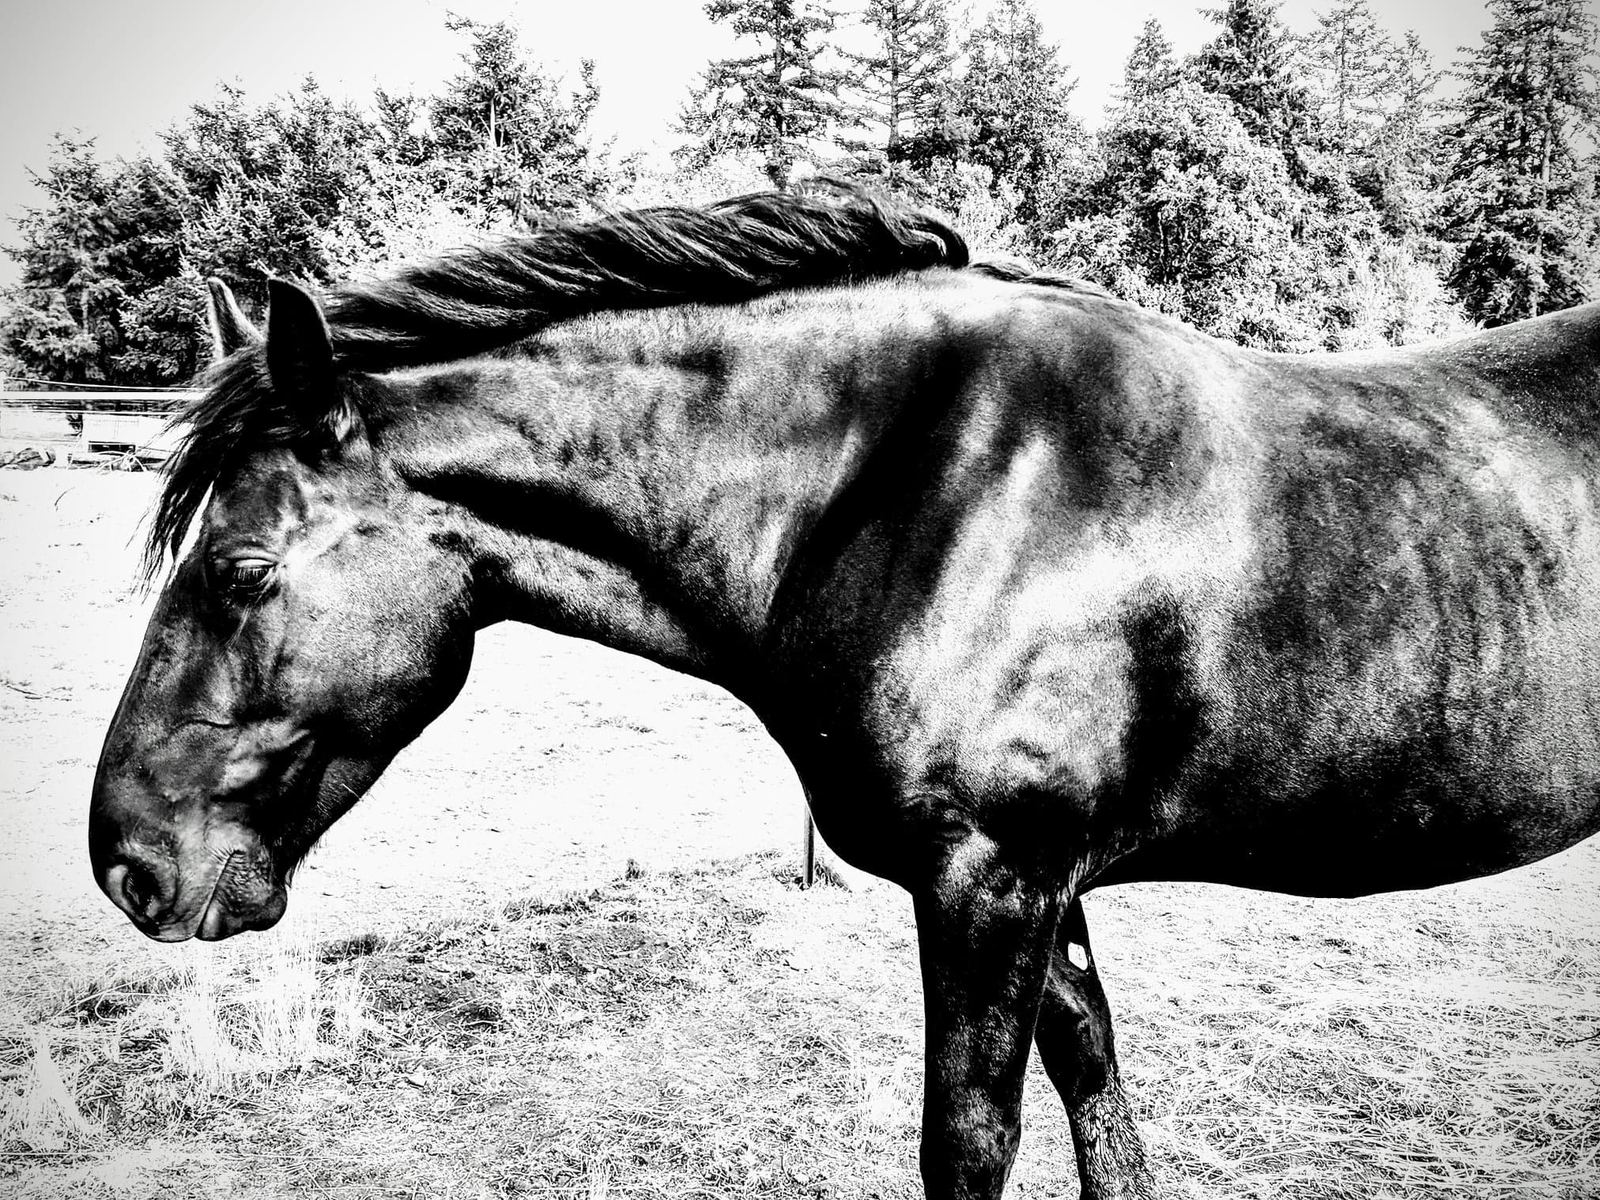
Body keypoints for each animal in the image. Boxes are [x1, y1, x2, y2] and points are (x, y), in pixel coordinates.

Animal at [89, 183, 1600, 1200]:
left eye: (236, 565)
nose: (129, 864)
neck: (920, 484)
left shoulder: (991, 884)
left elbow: (968, 1144)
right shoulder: (1045, 896)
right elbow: (1098, 1091)